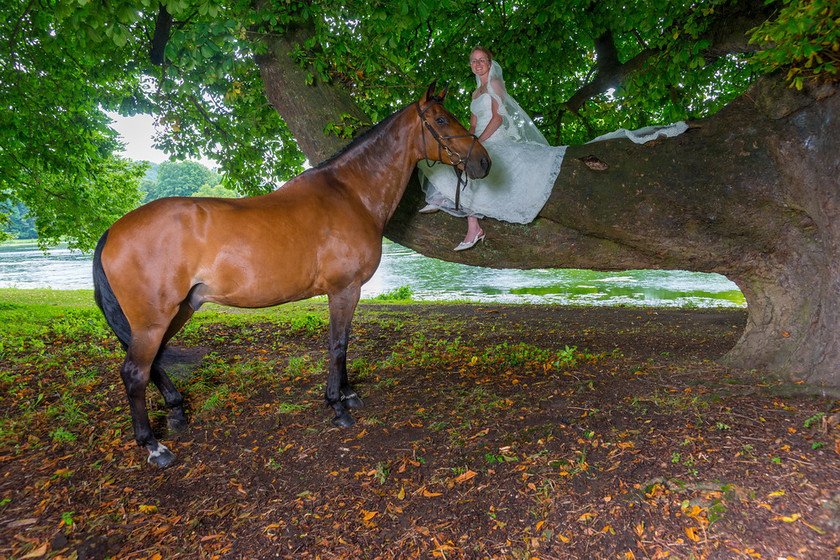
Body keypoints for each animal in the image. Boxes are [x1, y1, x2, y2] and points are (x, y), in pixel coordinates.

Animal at [92, 83, 488, 468]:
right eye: (440, 119)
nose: (483, 161)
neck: (351, 194)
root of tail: (113, 230)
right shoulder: (344, 289)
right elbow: (338, 345)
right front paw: (337, 406)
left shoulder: (345, 291)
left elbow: (343, 342)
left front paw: (348, 393)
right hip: (153, 320)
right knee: (134, 373)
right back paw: (154, 446)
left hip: (178, 310)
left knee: (152, 362)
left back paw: (176, 412)